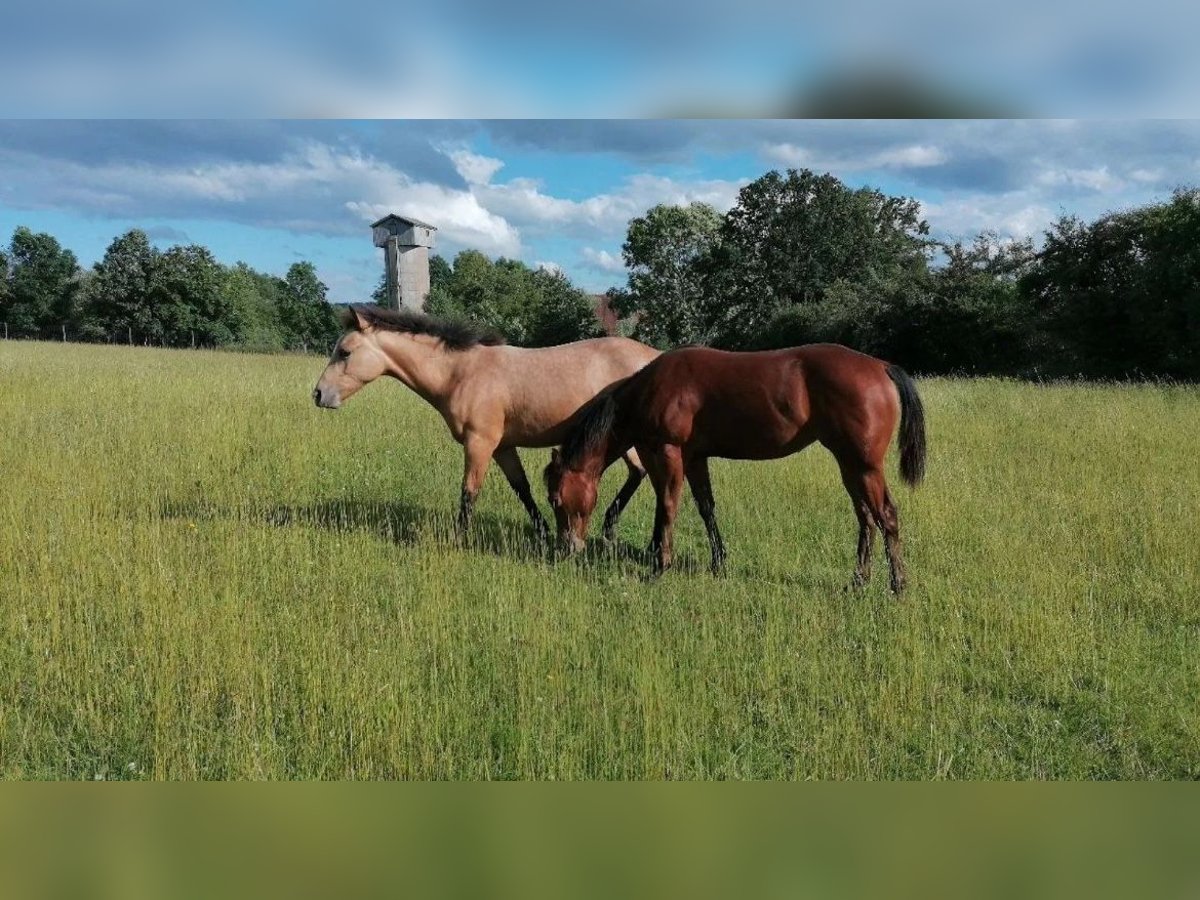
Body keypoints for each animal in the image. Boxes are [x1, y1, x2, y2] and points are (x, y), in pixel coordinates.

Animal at [314, 303, 662, 542]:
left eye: (344, 352)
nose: (318, 394)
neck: (461, 373)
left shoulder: (479, 443)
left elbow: (469, 492)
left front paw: (459, 540)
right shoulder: (502, 446)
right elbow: (522, 489)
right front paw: (544, 532)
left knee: (640, 472)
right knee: (637, 473)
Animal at [544, 343, 926, 592]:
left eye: (556, 500)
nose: (565, 549)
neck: (649, 390)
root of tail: (880, 366)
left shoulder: (667, 453)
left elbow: (667, 507)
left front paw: (659, 566)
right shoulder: (695, 458)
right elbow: (706, 507)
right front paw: (718, 561)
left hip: (865, 466)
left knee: (886, 516)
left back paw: (898, 585)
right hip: (849, 465)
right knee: (866, 518)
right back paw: (858, 581)